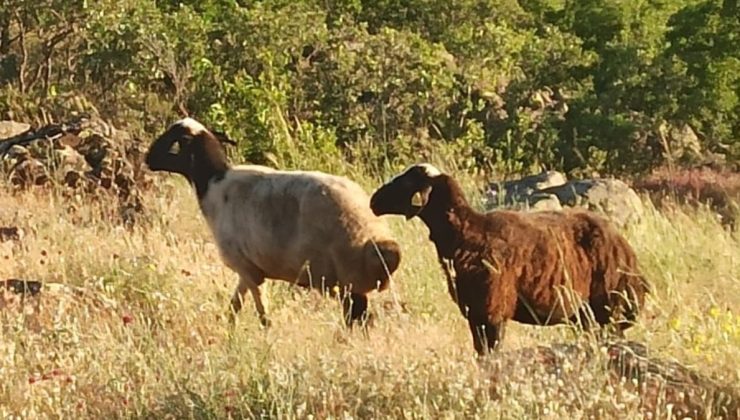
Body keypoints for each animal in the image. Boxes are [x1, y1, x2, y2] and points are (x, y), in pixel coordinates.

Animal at [370, 164, 648, 354]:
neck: (468, 233)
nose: (374, 201)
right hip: (586, 317)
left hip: (610, 311)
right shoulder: (475, 315)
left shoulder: (493, 311)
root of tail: (629, 254)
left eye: (408, 183)